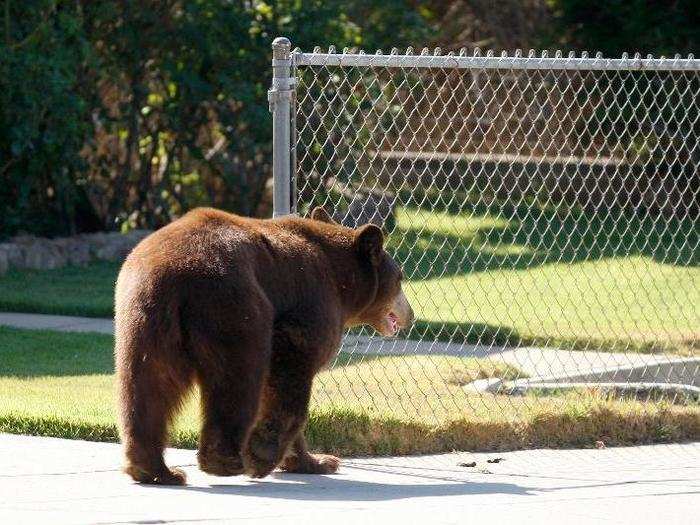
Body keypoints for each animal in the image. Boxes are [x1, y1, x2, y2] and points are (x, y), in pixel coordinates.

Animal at [112, 205, 412, 484]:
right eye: (400, 278)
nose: (410, 314)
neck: (342, 282)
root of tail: (173, 274)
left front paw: (317, 461)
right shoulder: (312, 303)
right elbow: (289, 371)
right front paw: (262, 454)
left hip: (143, 321)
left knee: (148, 386)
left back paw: (154, 469)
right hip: (234, 307)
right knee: (238, 378)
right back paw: (225, 461)